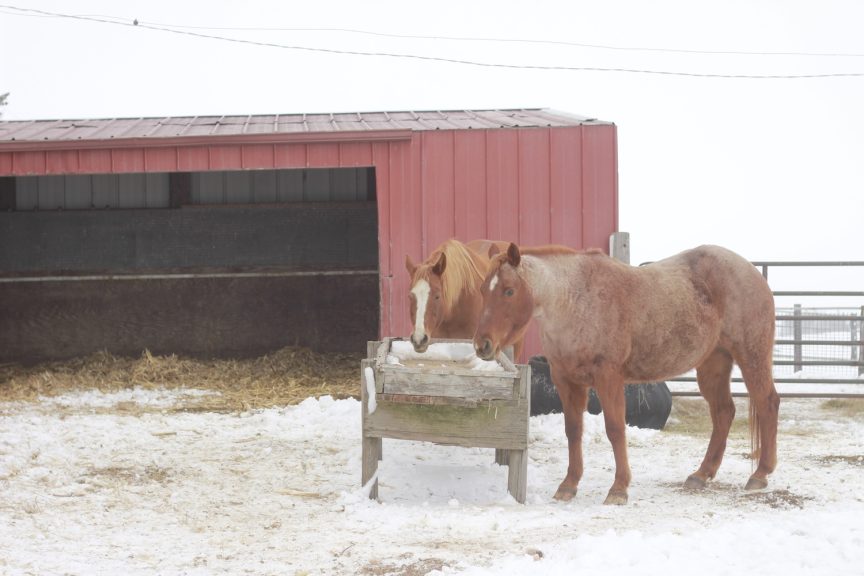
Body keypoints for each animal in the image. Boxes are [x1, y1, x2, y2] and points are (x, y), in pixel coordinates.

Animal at [473, 243, 779, 505]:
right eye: (483, 291)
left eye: (509, 291)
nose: (482, 344)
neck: (576, 300)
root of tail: (751, 271)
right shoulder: (565, 380)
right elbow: (573, 430)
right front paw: (569, 485)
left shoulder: (608, 378)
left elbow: (615, 429)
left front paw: (618, 489)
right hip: (713, 363)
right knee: (723, 412)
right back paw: (701, 474)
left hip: (752, 357)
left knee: (767, 403)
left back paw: (760, 474)